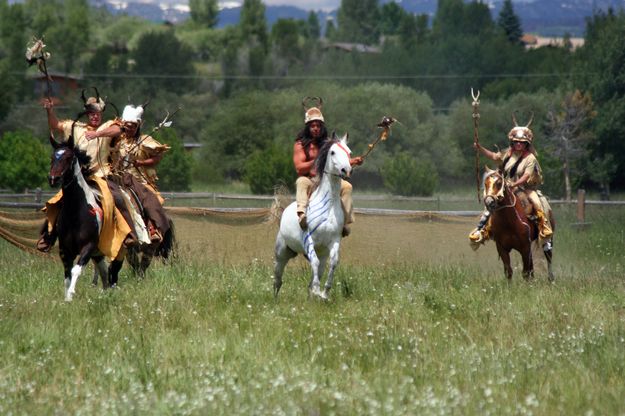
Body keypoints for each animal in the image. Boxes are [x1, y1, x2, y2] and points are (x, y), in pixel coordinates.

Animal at [272, 133, 354, 300]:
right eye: (333, 152)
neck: (329, 206)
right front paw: (317, 290)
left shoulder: (334, 241)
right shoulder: (309, 238)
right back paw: (275, 297)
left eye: (349, 152)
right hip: (281, 252)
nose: (346, 170)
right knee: (278, 277)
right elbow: (314, 263)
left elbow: (333, 262)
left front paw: (324, 293)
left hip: (321, 253)